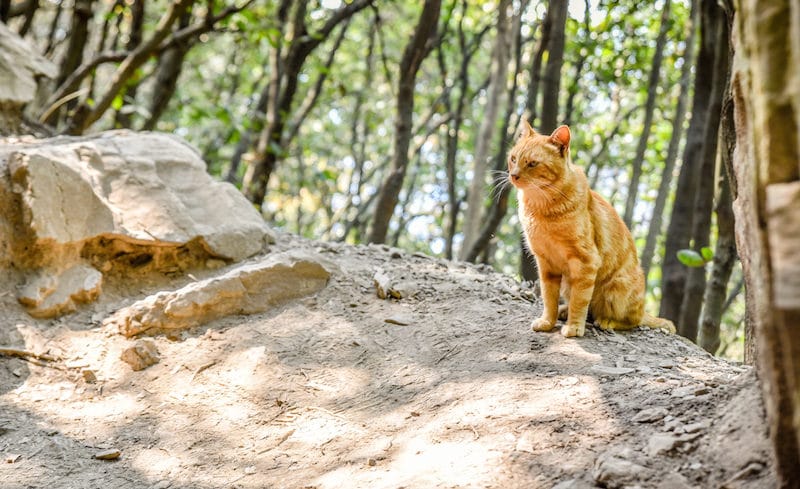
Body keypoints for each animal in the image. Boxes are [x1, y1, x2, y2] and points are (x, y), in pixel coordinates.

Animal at [506, 120, 676, 338]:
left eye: (532, 163)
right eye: (513, 159)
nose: (514, 175)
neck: (541, 209)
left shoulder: (585, 261)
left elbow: (579, 301)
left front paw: (574, 327)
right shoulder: (546, 264)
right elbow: (549, 298)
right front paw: (548, 321)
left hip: (617, 288)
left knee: (632, 320)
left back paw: (607, 321)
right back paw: (563, 311)